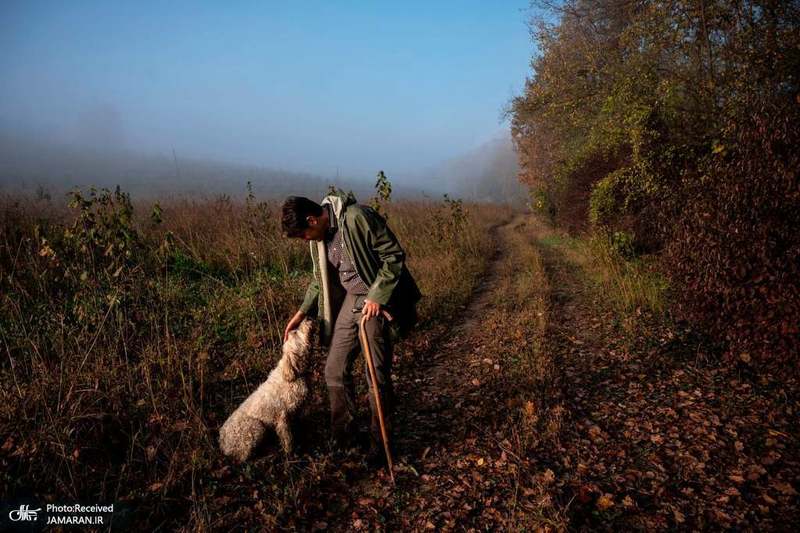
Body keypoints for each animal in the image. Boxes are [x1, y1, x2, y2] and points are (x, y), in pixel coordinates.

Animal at [222, 318, 318, 460]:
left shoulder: (295, 411)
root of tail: (222, 444)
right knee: (244, 456)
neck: (293, 374)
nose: (308, 318)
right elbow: (287, 438)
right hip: (256, 428)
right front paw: (290, 453)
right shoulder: (282, 417)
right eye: (295, 332)